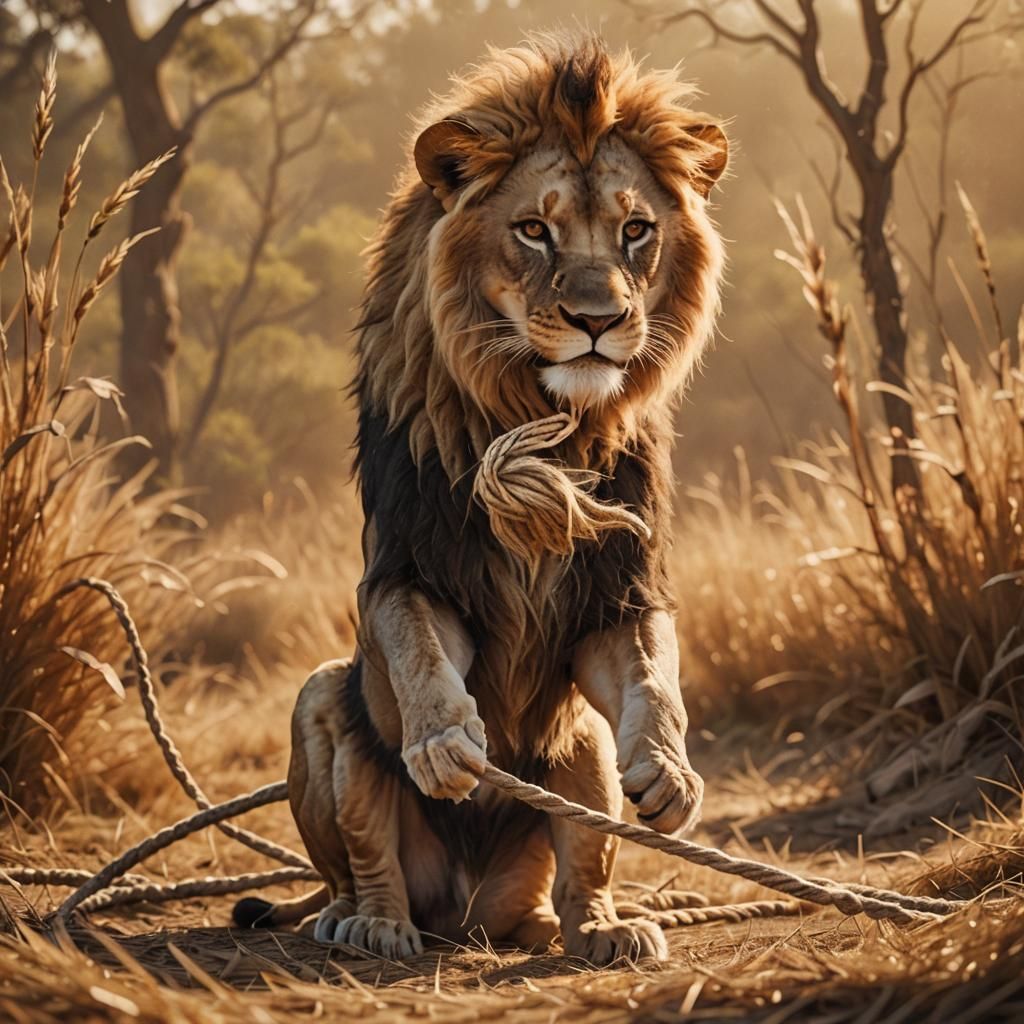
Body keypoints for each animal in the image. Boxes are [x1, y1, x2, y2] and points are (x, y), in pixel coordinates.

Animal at [234, 33, 728, 966]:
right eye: (534, 230)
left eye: (635, 230)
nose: (598, 321)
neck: (545, 422)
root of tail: (459, 915)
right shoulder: (409, 570)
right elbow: (420, 648)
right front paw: (442, 740)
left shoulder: (616, 592)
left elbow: (655, 673)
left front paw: (673, 773)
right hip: (325, 698)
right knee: (362, 861)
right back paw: (365, 922)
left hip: (578, 757)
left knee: (574, 880)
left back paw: (604, 927)